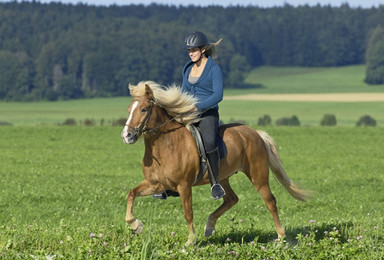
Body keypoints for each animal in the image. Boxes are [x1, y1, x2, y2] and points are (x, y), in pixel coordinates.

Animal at [121, 81, 310, 246]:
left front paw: (190, 241)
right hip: (223, 178)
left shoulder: (184, 185)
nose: (126, 136)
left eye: (144, 109)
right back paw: (209, 226)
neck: (166, 145)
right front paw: (136, 225)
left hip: (258, 176)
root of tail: (255, 133)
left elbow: (188, 212)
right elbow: (131, 194)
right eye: (129, 109)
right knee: (231, 199)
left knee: (270, 201)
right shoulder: (155, 184)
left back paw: (281, 237)